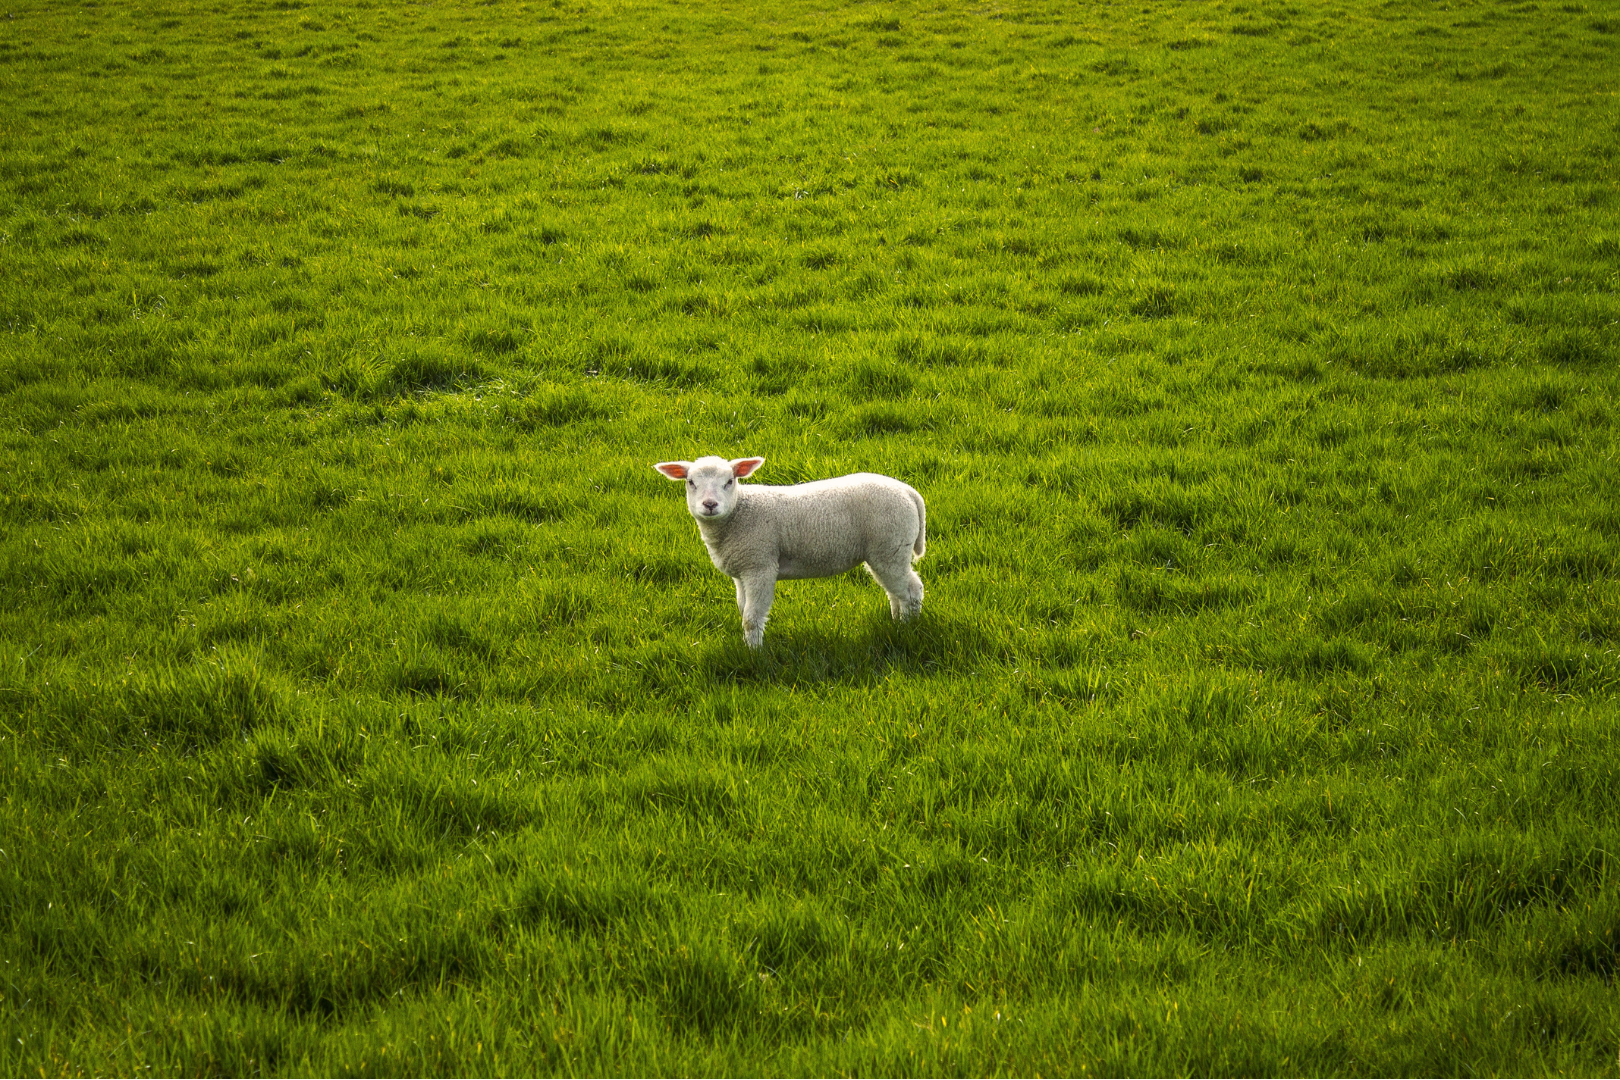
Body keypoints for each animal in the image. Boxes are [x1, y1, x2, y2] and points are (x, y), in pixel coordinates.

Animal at [653, 456, 926, 648]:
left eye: (729, 481)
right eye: (691, 482)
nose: (710, 505)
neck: (738, 513)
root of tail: (909, 492)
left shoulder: (760, 565)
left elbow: (751, 617)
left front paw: (754, 653)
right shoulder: (742, 571)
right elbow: (743, 609)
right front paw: (748, 644)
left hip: (890, 545)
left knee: (912, 590)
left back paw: (909, 628)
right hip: (886, 550)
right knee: (896, 591)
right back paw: (897, 622)